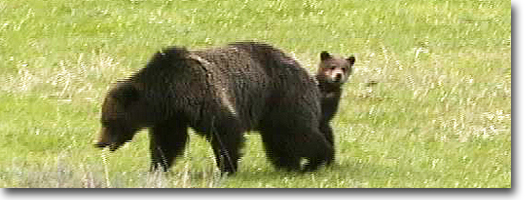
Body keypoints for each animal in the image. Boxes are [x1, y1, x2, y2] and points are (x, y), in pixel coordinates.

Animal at [94, 41, 332, 174]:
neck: (168, 93)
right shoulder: (173, 117)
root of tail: (306, 72)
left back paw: (320, 159)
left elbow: (225, 130)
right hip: (272, 110)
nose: (99, 142)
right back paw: (288, 165)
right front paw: (157, 167)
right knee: (279, 140)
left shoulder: (202, 94)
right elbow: (167, 141)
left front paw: (226, 167)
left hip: (283, 96)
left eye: (108, 121)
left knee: (296, 132)